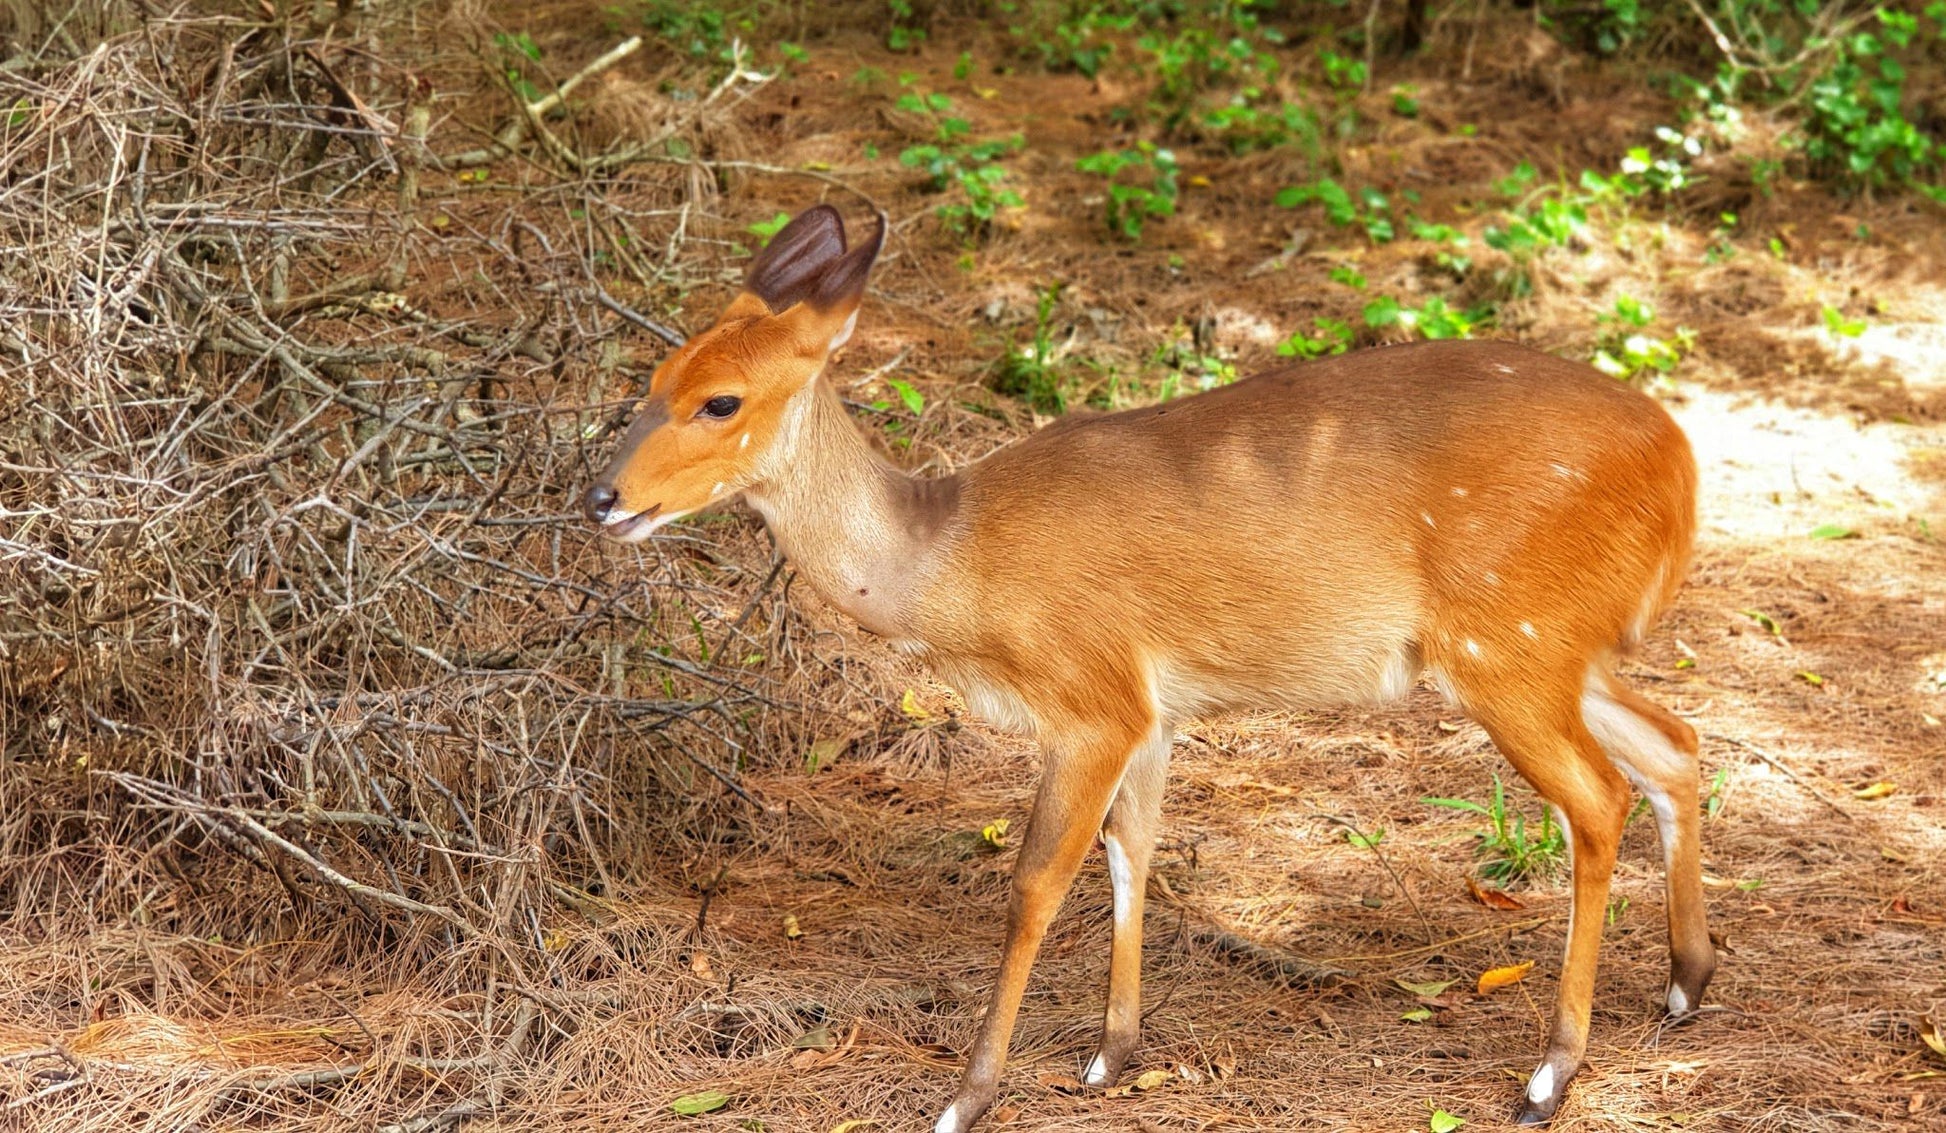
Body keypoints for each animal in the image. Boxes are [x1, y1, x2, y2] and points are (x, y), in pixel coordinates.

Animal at [583, 208, 1712, 1129]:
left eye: (721, 400)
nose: (601, 495)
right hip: (1559, 646)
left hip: (1504, 643)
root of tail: (1680, 466)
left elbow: (1036, 879)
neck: (952, 561)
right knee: (1676, 743)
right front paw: (1109, 1054)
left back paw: (1549, 1075)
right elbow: (1133, 849)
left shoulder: (1092, 699)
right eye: (651, 382)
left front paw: (967, 1094)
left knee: (1598, 796)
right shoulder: (1155, 706)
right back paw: (1685, 983)